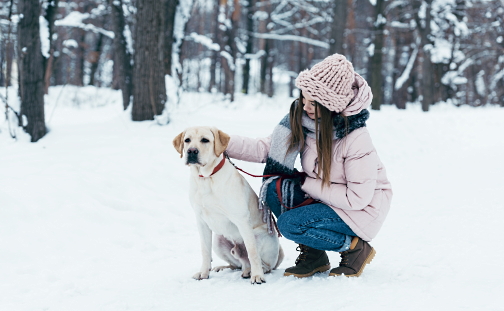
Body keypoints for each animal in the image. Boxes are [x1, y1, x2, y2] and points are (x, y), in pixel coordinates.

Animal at [173, 127, 284, 286]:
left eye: (205, 140)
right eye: (187, 140)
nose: (191, 151)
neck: (206, 178)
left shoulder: (242, 220)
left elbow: (253, 253)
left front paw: (257, 276)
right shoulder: (201, 221)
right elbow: (205, 251)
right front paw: (203, 273)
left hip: (259, 236)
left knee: (261, 263)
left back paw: (253, 271)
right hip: (218, 241)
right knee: (238, 264)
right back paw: (224, 267)